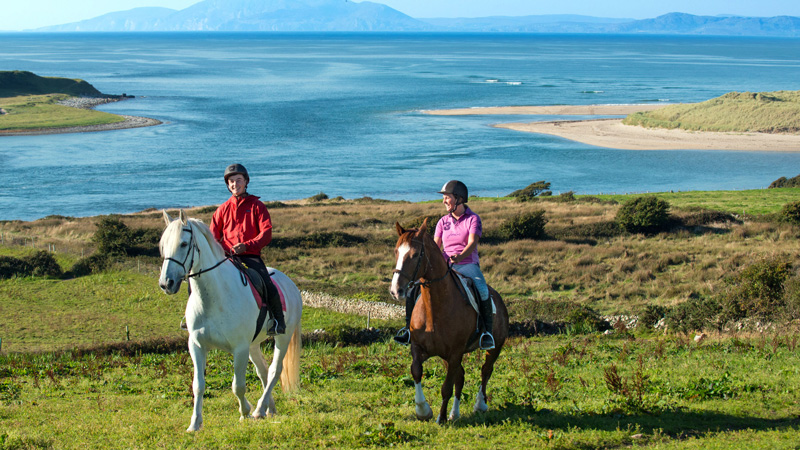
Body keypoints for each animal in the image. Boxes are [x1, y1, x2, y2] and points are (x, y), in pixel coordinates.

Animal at [158, 210, 302, 432]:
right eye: (163, 244)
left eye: (183, 243)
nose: (166, 283)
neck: (213, 298)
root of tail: (290, 283)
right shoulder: (196, 345)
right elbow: (198, 385)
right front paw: (195, 424)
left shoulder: (239, 348)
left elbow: (238, 386)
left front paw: (245, 413)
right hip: (253, 345)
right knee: (263, 371)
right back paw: (268, 409)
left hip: (282, 338)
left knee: (274, 371)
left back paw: (258, 409)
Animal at [390, 218, 509, 424]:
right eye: (397, 251)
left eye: (416, 254)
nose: (396, 290)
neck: (435, 309)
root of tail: (498, 298)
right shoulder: (420, 348)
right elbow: (416, 371)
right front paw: (423, 410)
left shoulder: (455, 353)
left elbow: (446, 387)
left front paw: (441, 417)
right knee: (460, 377)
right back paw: (455, 413)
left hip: (494, 347)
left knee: (485, 371)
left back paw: (480, 404)